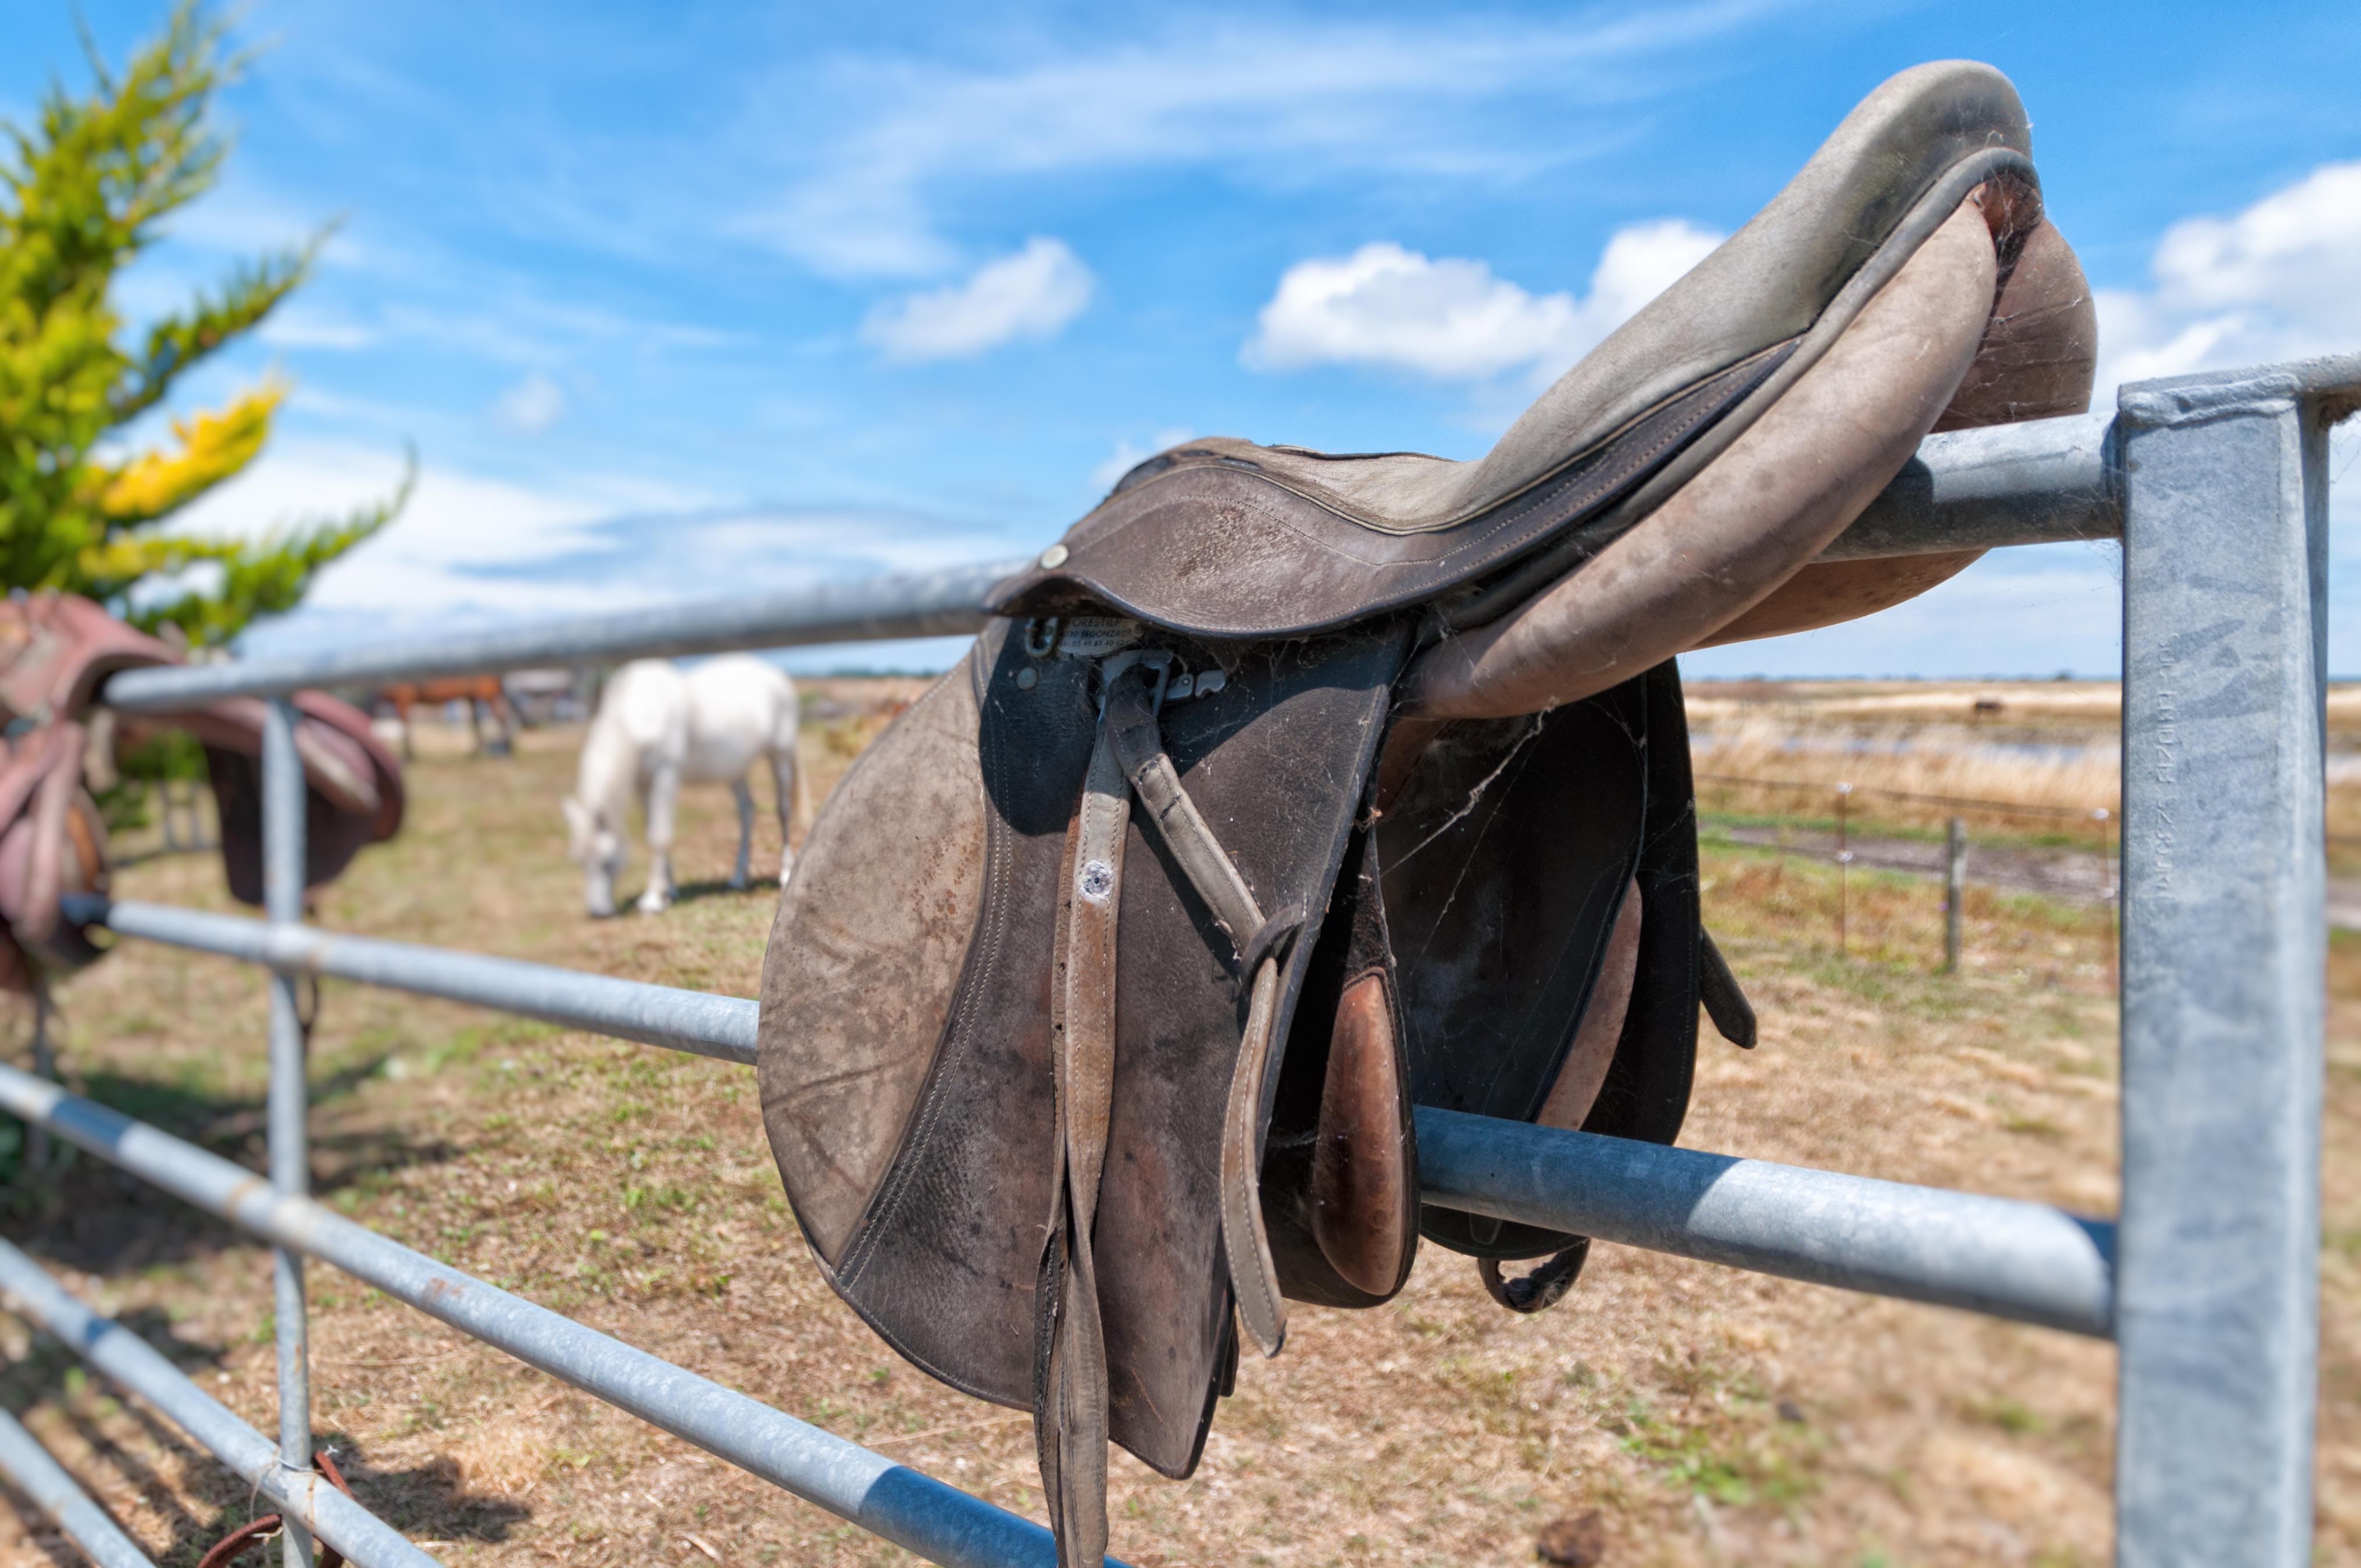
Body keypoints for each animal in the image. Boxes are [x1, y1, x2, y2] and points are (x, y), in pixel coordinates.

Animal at [559, 652, 802, 921]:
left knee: (783, 809)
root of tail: (777, 677)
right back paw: (738, 878)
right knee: (747, 811)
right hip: (735, 769)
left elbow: (659, 835)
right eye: (579, 861)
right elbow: (651, 830)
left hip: (780, 754)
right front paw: (669, 891)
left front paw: (653, 900)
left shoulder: (666, 774)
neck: (640, 714)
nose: (599, 913)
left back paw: (785, 873)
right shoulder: (643, 784)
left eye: (607, 861)